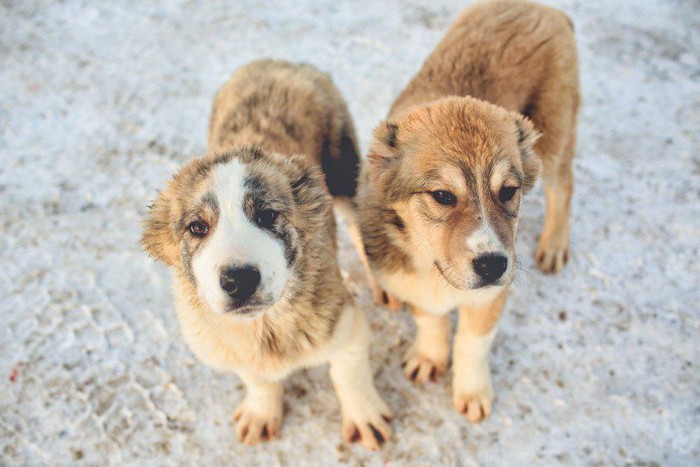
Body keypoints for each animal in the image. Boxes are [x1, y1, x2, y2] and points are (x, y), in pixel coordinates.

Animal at [142, 60, 392, 452]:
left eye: (267, 215)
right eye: (197, 227)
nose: (238, 279)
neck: (266, 327)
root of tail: (275, 63)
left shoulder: (345, 322)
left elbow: (348, 373)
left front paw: (364, 414)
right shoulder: (235, 348)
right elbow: (258, 379)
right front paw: (262, 411)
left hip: (342, 171)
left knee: (358, 225)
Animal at [356, 0, 580, 422]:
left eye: (508, 192)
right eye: (443, 195)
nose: (492, 265)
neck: (437, 272)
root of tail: (545, 8)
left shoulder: (490, 297)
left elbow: (471, 343)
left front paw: (472, 390)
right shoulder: (412, 285)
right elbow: (431, 322)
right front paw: (430, 356)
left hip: (555, 134)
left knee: (564, 186)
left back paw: (555, 244)